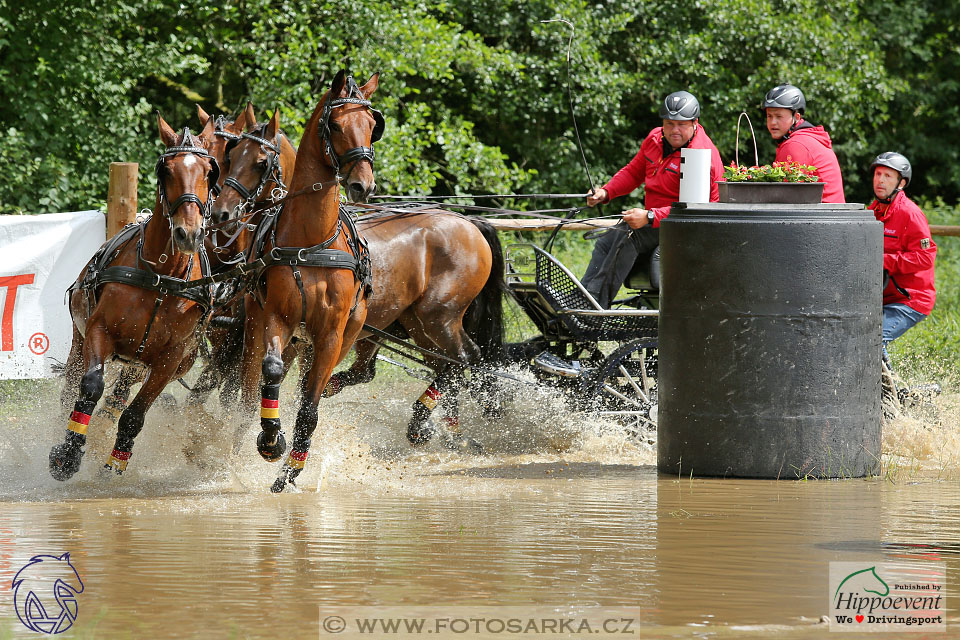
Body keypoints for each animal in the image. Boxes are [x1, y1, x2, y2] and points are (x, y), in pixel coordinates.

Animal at [51, 115, 220, 480]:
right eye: (166, 170)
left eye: (208, 171)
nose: (188, 233)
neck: (162, 276)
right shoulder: (99, 331)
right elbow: (90, 387)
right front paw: (67, 453)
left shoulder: (169, 359)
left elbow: (135, 414)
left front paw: (115, 463)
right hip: (79, 341)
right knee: (71, 390)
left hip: (141, 365)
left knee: (120, 397)